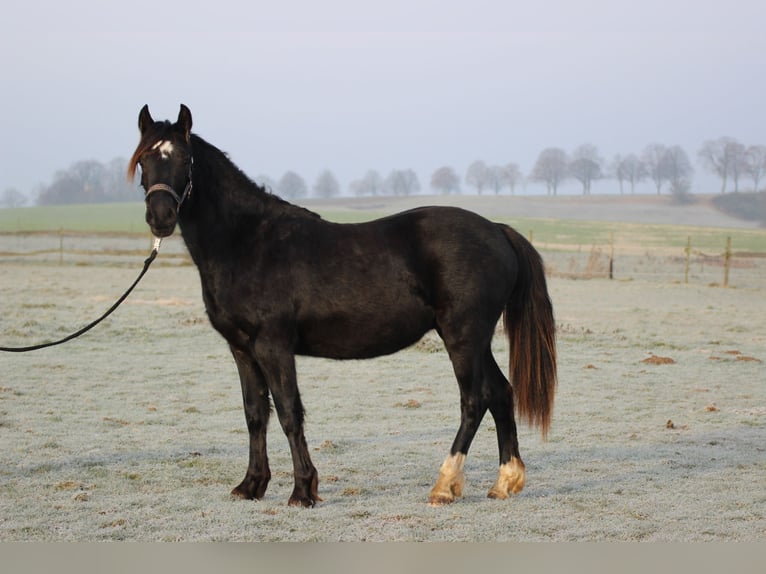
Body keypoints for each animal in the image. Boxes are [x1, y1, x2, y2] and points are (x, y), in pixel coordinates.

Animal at [130, 104, 560, 508]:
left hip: (463, 337)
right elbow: (255, 414)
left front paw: (303, 490)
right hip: (476, 339)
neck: (247, 240)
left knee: (475, 400)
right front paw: (251, 486)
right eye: (144, 160)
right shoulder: (242, 349)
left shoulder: (273, 346)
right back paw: (504, 483)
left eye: (185, 159)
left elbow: (288, 412)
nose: (160, 217)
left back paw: (444, 485)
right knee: (501, 393)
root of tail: (497, 231)